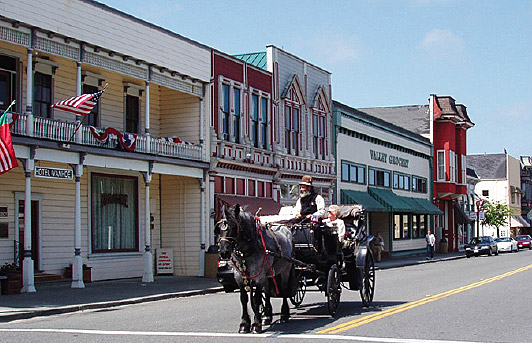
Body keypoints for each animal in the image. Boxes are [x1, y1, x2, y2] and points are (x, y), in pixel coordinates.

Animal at [216, 206, 296, 334]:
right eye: (219, 228)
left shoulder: (259, 276)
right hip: (269, 273)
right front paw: (244, 324)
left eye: (233, 227)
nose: (224, 252)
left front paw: (256, 324)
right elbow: (244, 299)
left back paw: (284, 314)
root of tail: (286, 228)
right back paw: (267, 316)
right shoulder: (239, 277)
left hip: (285, 269)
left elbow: (256, 299)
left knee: (284, 290)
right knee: (267, 292)